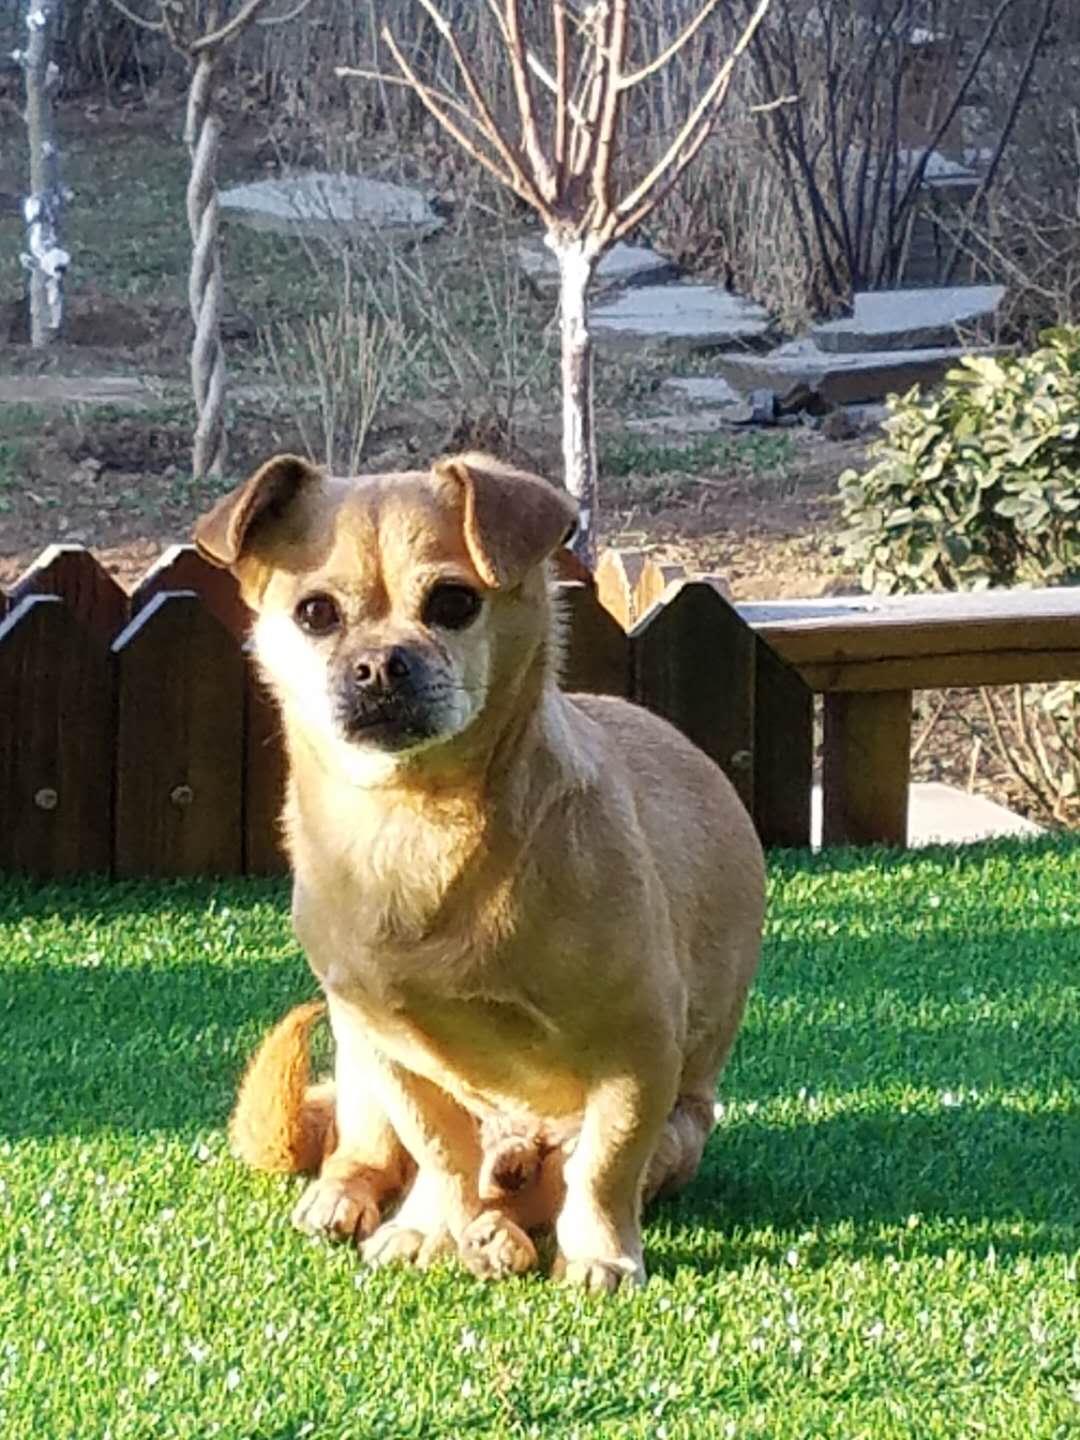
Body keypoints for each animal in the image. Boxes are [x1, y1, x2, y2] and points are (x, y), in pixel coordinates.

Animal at [197, 452, 771, 1296]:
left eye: (454, 602)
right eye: (315, 614)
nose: (378, 663)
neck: (417, 821)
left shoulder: (636, 1054)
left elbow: (603, 1165)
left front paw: (598, 1253)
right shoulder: (395, 1052)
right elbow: (438, 1147)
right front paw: (432, 1229)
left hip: (678, 1128)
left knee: (549, 1176)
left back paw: (500, 1232)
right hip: (358, 1062)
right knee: (368, 1150)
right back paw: (368, 1206)